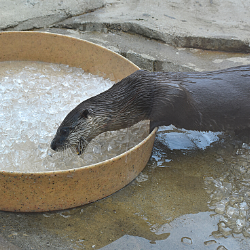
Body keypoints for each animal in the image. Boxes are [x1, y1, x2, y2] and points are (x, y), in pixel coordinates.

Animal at [50, 64, 250, 154]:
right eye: (58, 128)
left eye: (65, 130)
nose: (53, 145)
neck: (138, 94)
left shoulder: (171, 95)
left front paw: (150, 129)